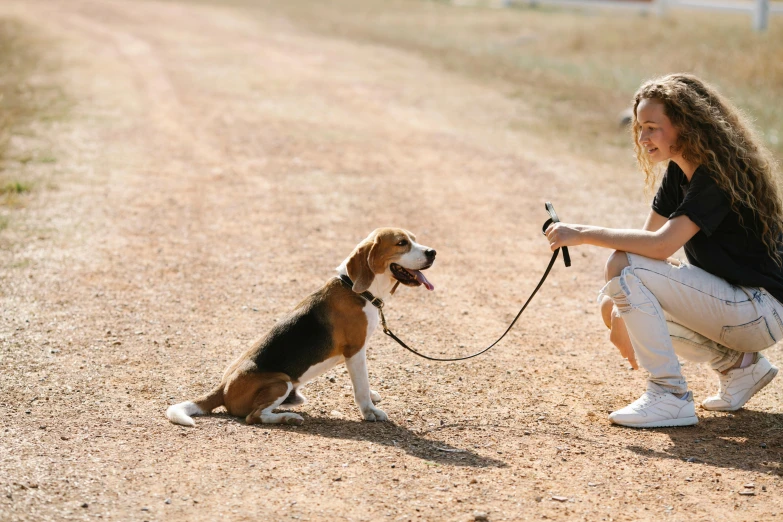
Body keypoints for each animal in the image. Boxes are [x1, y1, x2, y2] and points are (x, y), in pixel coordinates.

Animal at [167, 230, 434, 424]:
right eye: (401, 243)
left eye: (415, 240)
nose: (433, 252)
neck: (355, 289)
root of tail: (222, 389)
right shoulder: (355, 351)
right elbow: (361, 386)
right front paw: (370, 411)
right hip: (280, 383)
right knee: (255, 417)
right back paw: (288, 418)